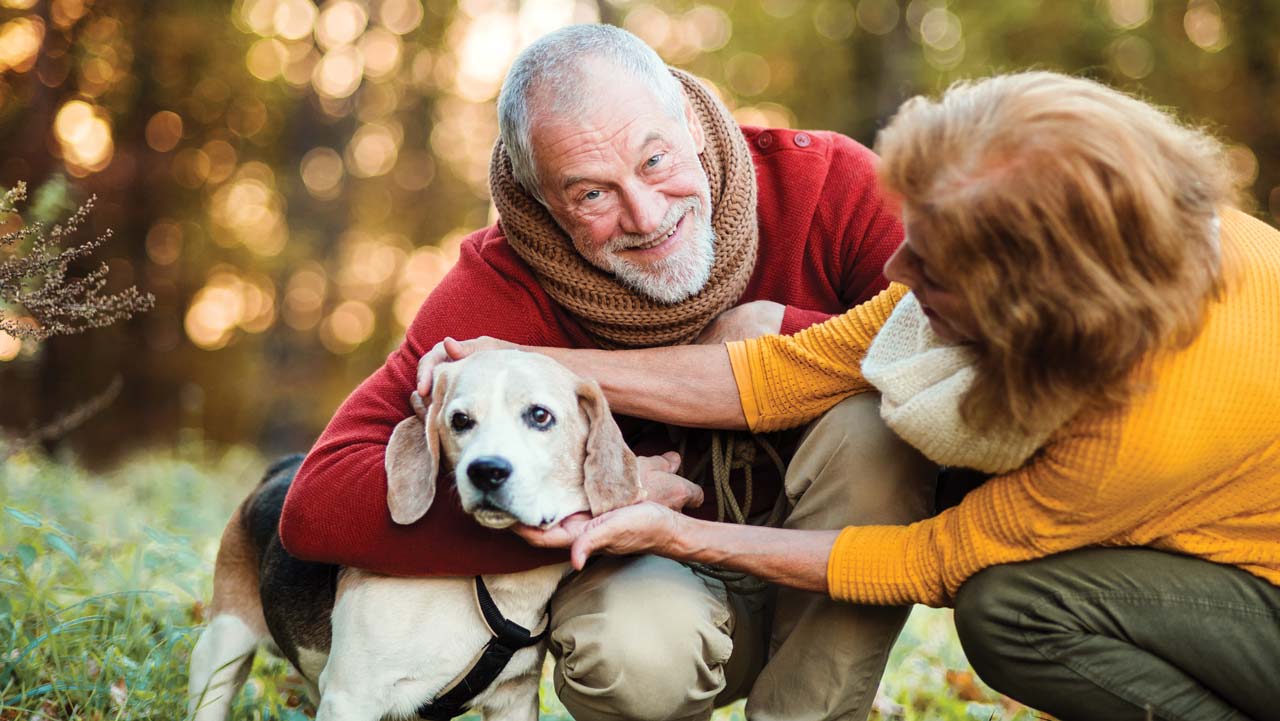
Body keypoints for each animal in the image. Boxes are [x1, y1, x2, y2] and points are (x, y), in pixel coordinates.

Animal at [188, 353, 640, 721]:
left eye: (540, 416)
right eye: (460, 421)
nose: (485, 470)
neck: (486, 585)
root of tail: (283, 465)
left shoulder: (514, 699)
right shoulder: (351, 697)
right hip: (222, 648)